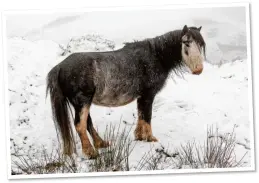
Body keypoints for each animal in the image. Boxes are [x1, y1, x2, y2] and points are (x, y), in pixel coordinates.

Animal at [46, 25, 205, 158]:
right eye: (186, 43)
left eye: (201, 45)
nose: (198, 70)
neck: (157, 56)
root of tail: (60, 67)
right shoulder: (148, 95)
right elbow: (147, 116)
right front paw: (150, 138)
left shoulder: (142, 96)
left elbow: (141, 115)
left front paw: (139, 136)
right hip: (82, 101)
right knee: (80, 125)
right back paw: (91, 152)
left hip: (81, 103)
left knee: (87, 123)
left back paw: (101, 143)